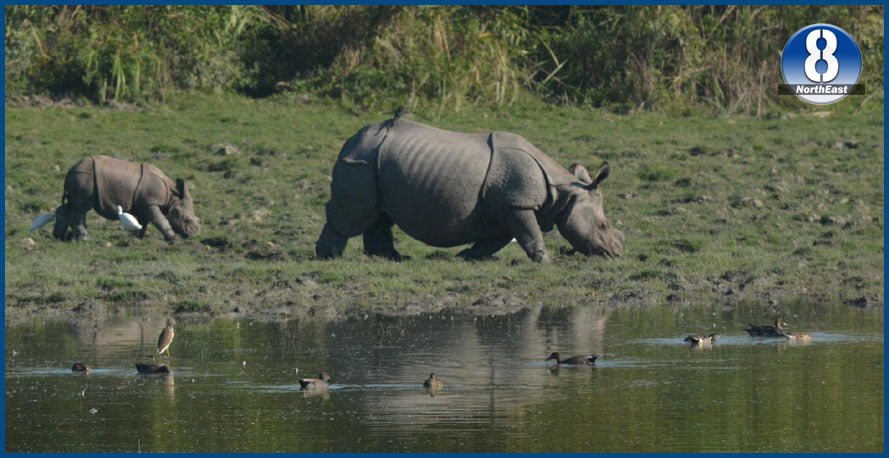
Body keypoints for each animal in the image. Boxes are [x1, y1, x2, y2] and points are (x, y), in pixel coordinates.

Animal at [53, 155, 200, 242]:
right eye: (186, 219)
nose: (193, 234)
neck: (172, 197)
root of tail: (70, 170)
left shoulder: (144, 203)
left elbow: (143, 221)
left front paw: (138, 237)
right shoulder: (150, 202)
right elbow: (159, 219)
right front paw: (172, 238)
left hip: (80, 177)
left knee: (71, 205)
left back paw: (59, 236)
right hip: (84, 177)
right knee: (81, 208)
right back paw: (84, 239)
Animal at [315, 117, 624, 262]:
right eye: (603, 226)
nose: (618, 253)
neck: (563, 191)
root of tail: (351, 140)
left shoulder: (506, 206)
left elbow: (500, 238)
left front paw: (468, 256)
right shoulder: (517, 203)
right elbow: (529, 232)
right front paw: (545, 261)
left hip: (376, 162)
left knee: (380, 214)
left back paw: (390, 258)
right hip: (362, 160)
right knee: (355, 215)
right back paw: (329, 257)